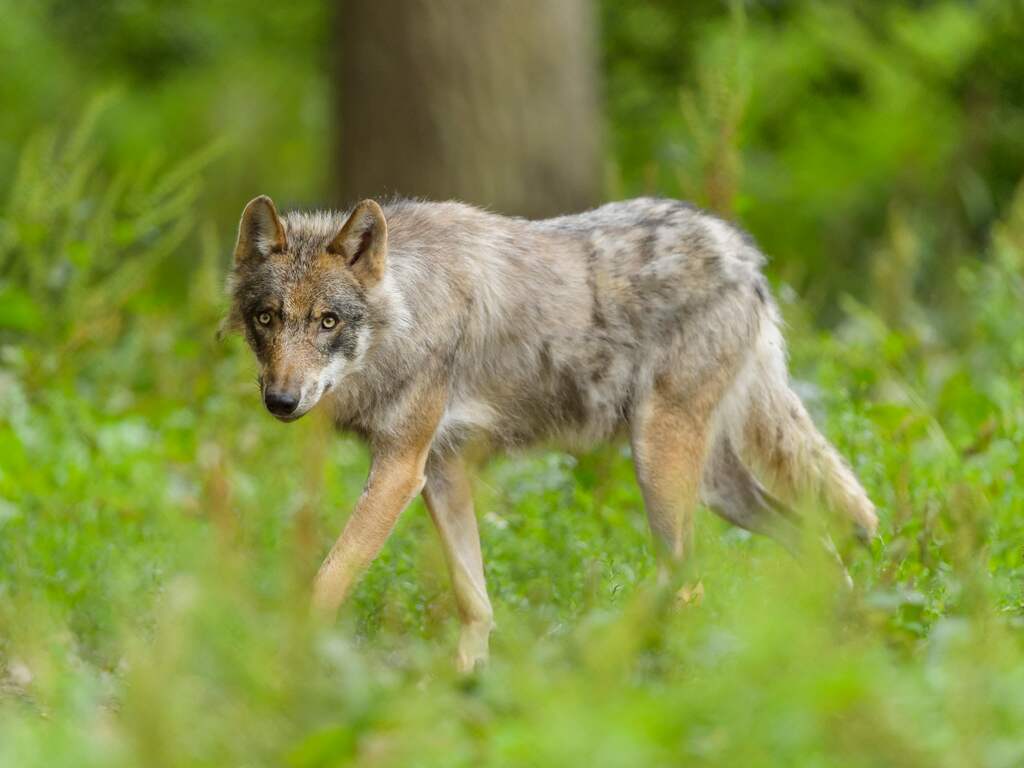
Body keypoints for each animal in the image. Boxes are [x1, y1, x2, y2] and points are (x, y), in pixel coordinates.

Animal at [223, 194, 878, 671]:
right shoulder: (441, 471)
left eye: (328, 322)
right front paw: (466, 684)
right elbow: (475, 600)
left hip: (659, 466)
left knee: (690, 576)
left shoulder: (401, 468)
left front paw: (290, 661)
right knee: (815, 539)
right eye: (267, 319)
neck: (407, 314)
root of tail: (741, 253)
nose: (280, 401)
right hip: (717, 487)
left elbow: (329, 579)